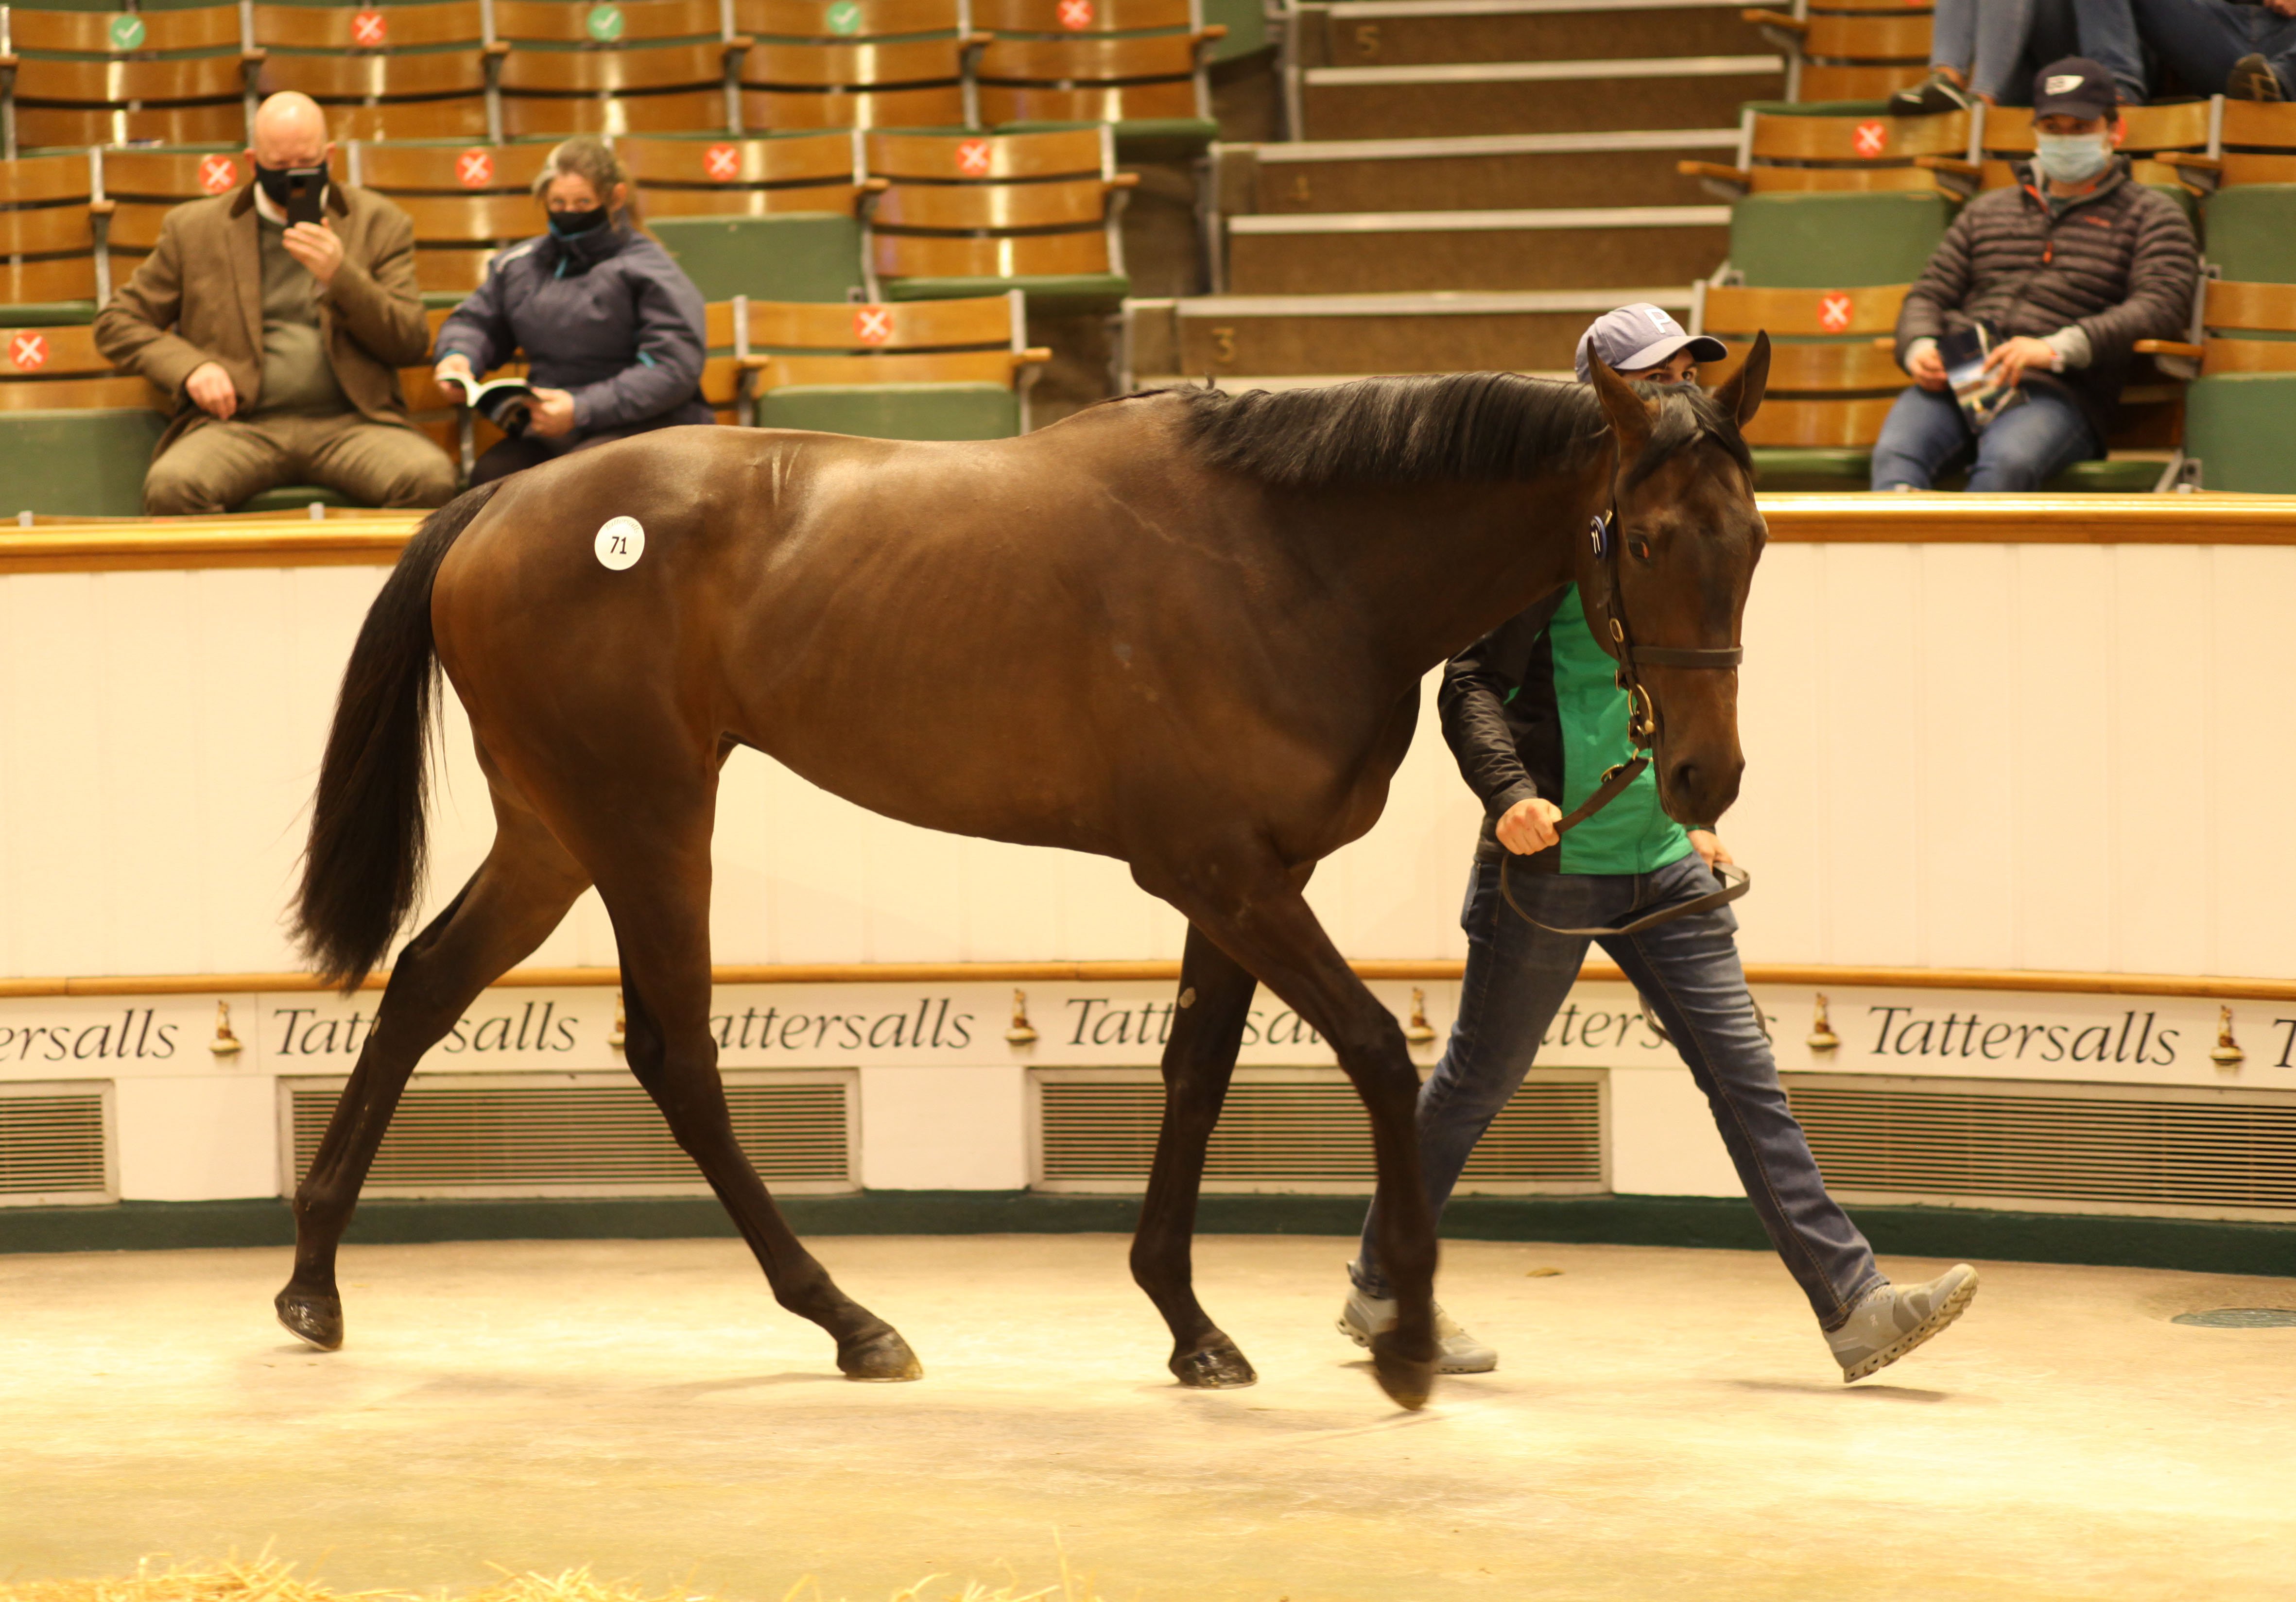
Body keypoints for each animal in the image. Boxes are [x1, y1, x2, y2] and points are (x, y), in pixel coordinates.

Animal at [277, 344, 1763, 1404]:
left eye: (1748, 544)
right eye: (1643, 542)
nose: (1704, 777)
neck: (1290, 558)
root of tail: (502, 497)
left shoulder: (1242, 879)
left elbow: (1195, 1074)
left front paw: (1187, 1322)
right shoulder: (1218, 872)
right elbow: (1373, 1054)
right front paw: (1399, 1344)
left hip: (554, 831)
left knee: (423, 987)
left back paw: (312, 1284)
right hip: (643, 819)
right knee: (673, 1052)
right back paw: (849, 1320)